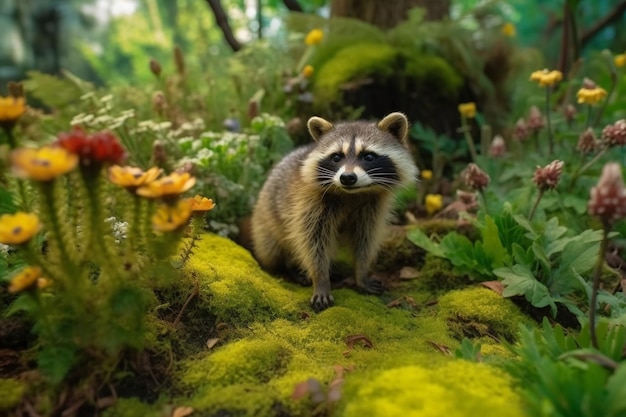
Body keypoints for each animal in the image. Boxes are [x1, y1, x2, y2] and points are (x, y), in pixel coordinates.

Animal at [250, 112, 420, 310]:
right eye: (337, 157)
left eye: (369, 156)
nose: (347, 177)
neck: (352, 194)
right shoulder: (310, 204)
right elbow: (311, 243)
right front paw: (321, 279)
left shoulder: (372, 208)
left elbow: (365, 239)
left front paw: (361, 273)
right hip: (265, 221)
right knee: (278, 247)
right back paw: (291, 265)